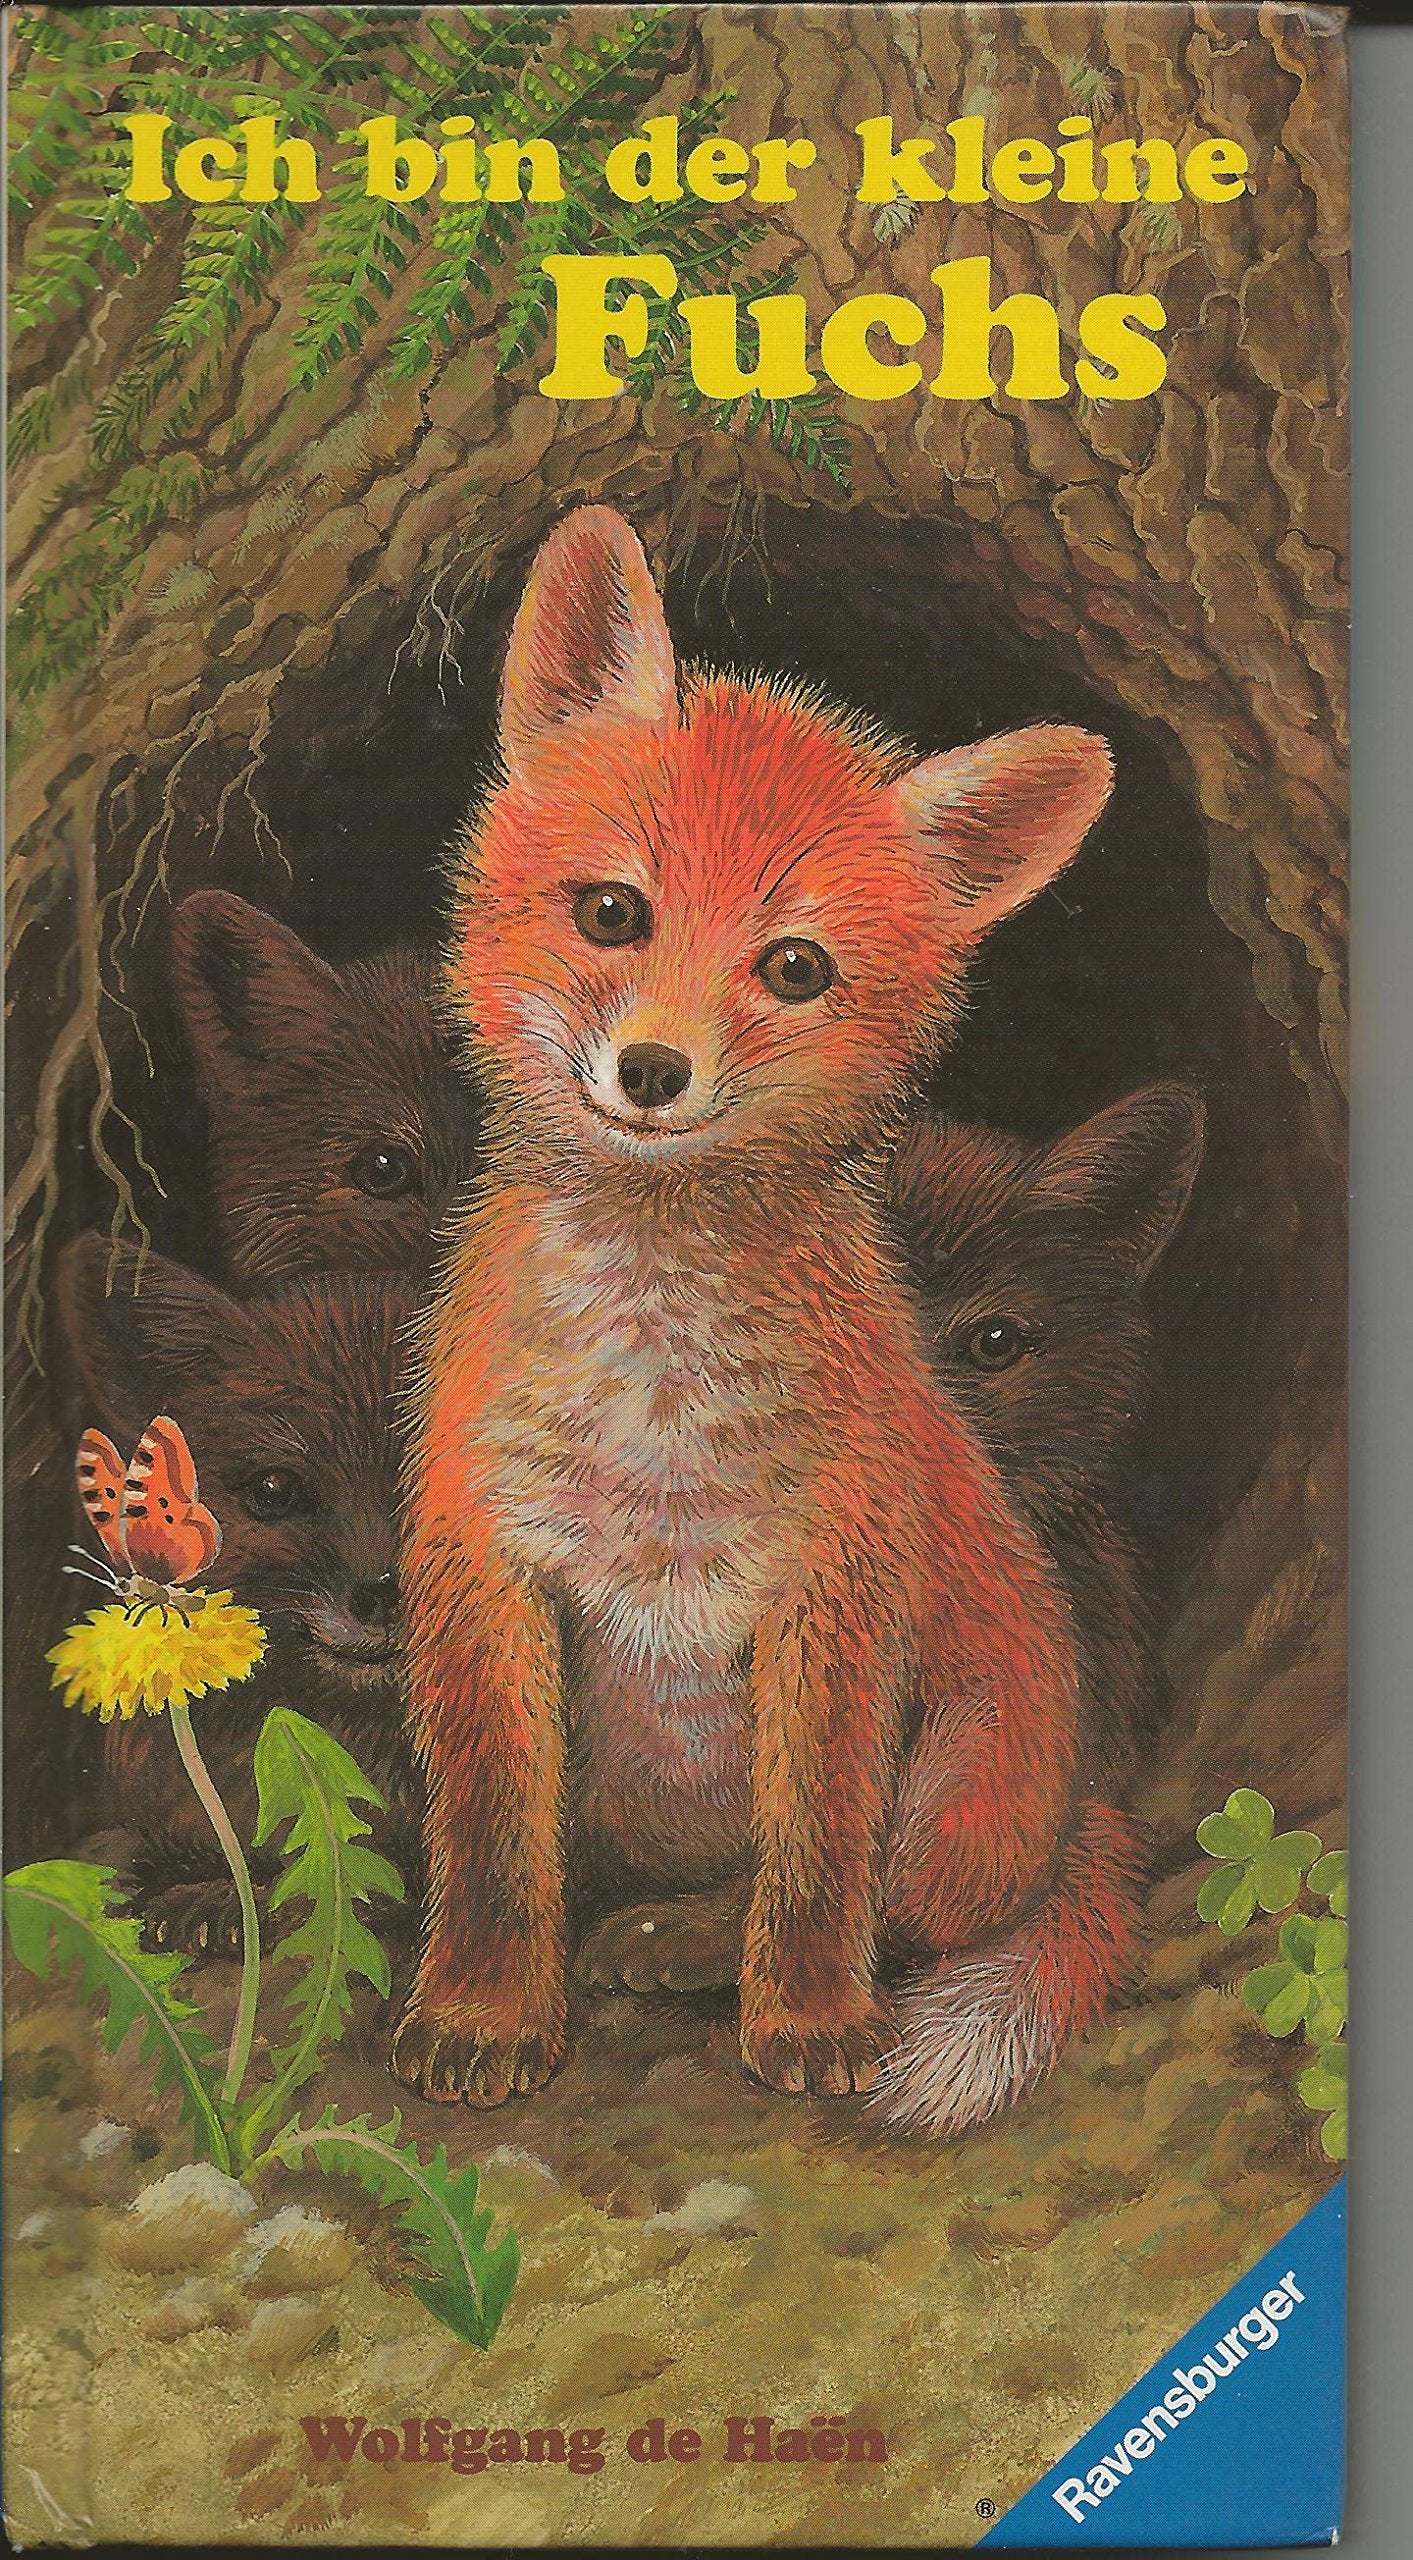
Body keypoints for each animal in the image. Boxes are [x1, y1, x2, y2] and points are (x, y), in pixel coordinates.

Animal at [392, 502, 1123, 2127]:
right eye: (613, 911)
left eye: (793, 967)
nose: (653, 1071)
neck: (651, 1399)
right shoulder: (481, 1557)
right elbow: (491, 1837)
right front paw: (482, 2010)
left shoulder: (833, 1579)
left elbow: (815, 1852)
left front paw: (807, 2015)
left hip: (965, 1782)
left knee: (899, 1899)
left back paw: (694, 1947)